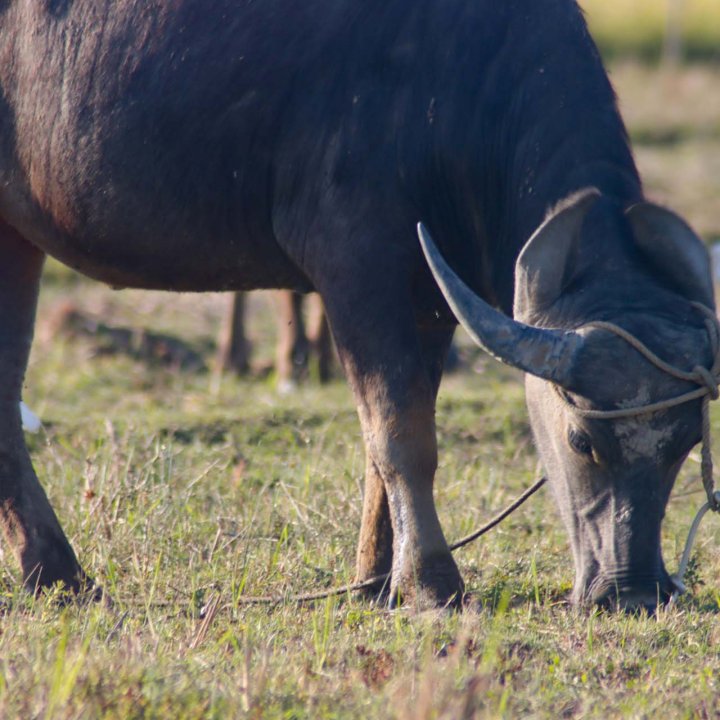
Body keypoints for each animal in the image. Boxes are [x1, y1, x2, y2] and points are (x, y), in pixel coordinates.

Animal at [0, 0, 716, 612]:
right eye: (581, 440)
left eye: (686, 442)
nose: (635, 593)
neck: (453, 91)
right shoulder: (358, 270)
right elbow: (403, 437)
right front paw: (431, 583)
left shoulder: (430, 301)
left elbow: (389, 438)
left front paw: (376, 580)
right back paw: (60, 573)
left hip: (17, 239)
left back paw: (53, 573)